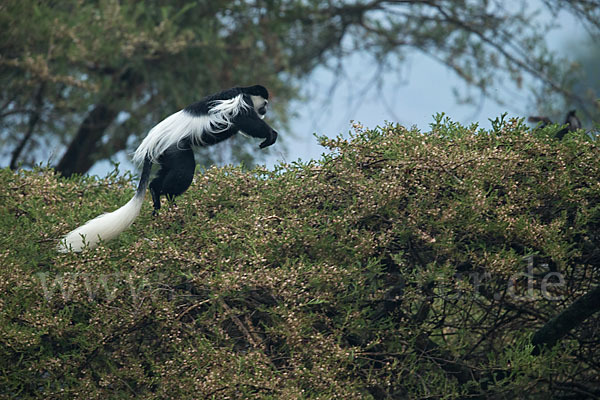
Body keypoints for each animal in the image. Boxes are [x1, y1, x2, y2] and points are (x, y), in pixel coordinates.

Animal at [58, 85, 276, 252]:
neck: (245, 91)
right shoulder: (240, 105)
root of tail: (151, 142)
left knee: (161, 178)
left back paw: (157, 197)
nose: (265, 111)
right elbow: (249, 124)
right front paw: (270, 135)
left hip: (166, 155)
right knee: (182, 173)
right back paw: (169, 202)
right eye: (264, 104)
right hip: (175, 149)